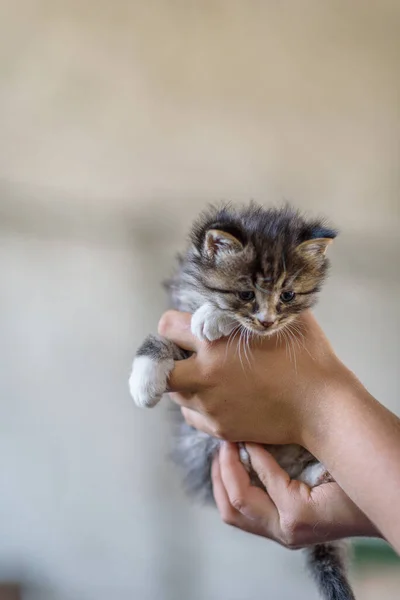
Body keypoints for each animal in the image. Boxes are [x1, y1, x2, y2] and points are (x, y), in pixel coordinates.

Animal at [130, 204, 354, 600]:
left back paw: (317, 471)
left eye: (288, 295)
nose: (266, 322)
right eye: (246, 294)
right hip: (200, 444)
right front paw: (143, 378)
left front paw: (212, 317)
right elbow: (161, 338)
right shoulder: (178, 311)